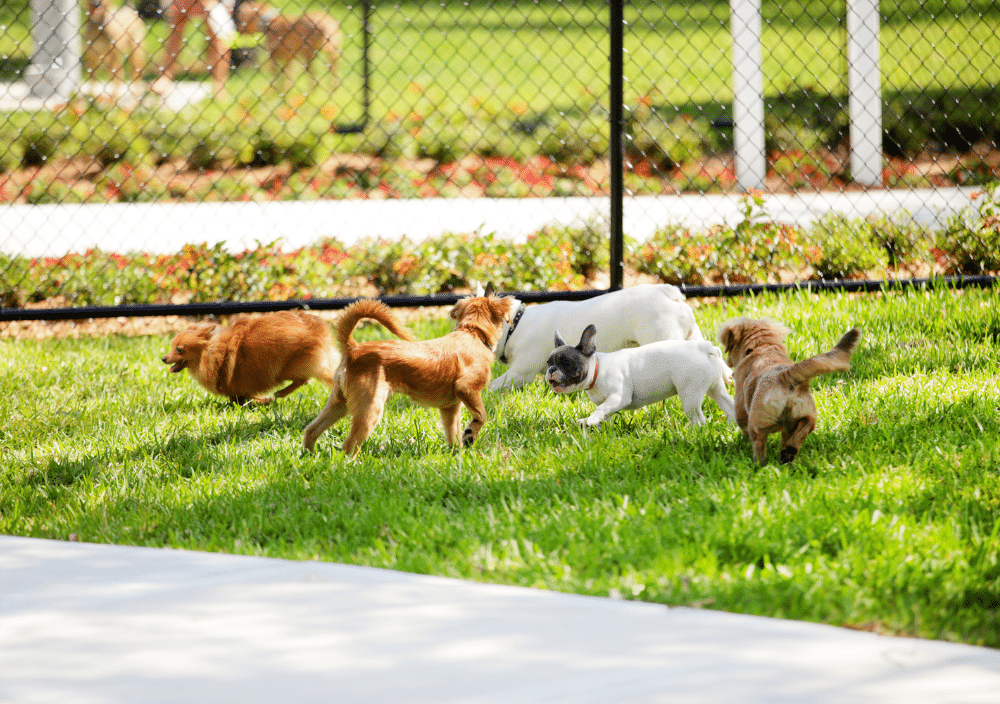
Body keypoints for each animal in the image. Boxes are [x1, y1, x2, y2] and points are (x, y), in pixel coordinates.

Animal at [161, 310, 336, 404]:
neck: (211, 352)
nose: (163, 358)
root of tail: (315, 328)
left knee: (303, 379)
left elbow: (239, 399)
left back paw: (281, 392)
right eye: (171, 346)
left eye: (179, 350)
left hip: (287, 368)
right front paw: (263, 401)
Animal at [304, 292, 516, 454]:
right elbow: (481, 415)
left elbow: (452, 432)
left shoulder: (450, 407)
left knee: (311, 430)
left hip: (339, 404)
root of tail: (354, 349)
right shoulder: (467, 388)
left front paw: (457, 453)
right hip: (370, 408)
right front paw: (470, 435)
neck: (472, 333)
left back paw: (309, 455)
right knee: (349, 445)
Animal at [544, 324, 740, 428]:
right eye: (548, 362)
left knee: (698, 418)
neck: (597, 370)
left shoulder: (618, 397)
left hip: (689, 394)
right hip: (716, 388)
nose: (551, 370)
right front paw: (595, 424)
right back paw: (731, 425)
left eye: (566, 363)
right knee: (728, 405)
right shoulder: (609, 403)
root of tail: (704, 348)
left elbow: (601, 409)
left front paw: (591, 420)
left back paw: (693, 430)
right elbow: (604, 412)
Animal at [720, 318, 860, 462]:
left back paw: (760, 464)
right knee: (800, 433)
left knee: (759, 445)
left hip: (757, 425)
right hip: (805, 416)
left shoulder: (740, 408)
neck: (762, 347)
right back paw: (787, 453)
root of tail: (784, 376)